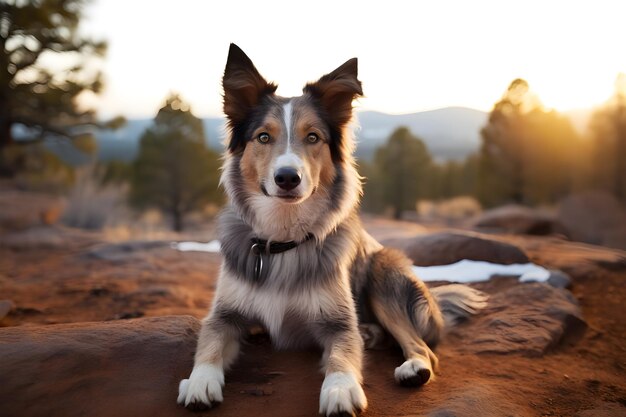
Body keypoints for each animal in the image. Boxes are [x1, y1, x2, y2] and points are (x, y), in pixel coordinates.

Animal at [177, 44, 488, 414]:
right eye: (263, 137)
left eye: (313, 137)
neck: (284, 237)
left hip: (384, 270)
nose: (287, 177)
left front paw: (340, 390)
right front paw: (199, 381)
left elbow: (343, 354)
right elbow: (208, 344)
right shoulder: (224, 315)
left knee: (422, 347)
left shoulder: (338, 323)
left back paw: (411, 366)